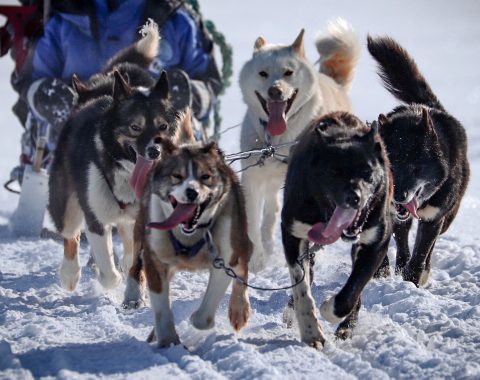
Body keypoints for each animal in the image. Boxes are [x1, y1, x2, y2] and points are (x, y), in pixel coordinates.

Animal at [124, 140, 253, 348]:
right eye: (177, 176)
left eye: (205, 176)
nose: (191, 192)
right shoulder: (155, 260)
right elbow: (162, 309)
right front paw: (168, 342)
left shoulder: (224, 259)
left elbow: (203, 317)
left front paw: (193, 320)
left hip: (240, 242)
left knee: (242, 270)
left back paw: (239, 309)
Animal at [240, 17, 360, 272]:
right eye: (263, 73)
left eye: (288, 72)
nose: (275, 90)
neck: (280, 141)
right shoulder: (253, 178)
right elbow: (253, 221)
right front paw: (256, 260)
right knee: (271, 212)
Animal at [282, 112, 394, 348]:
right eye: (335, 172)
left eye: (367, 171)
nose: (354, 197)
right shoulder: (292, 233)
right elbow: (301, 288)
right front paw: (311, 332)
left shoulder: (376, 242)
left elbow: (352, 291)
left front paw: (329, 309)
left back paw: (346, 327)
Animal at [368, 36, 468, 288]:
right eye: (391, 167)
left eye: (416, 169)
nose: (399, 196)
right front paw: (381, 273)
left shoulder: (433, 218)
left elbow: (422, 252)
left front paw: (412, 280)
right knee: (403, 238)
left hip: (446, 217)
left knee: (425, 248)